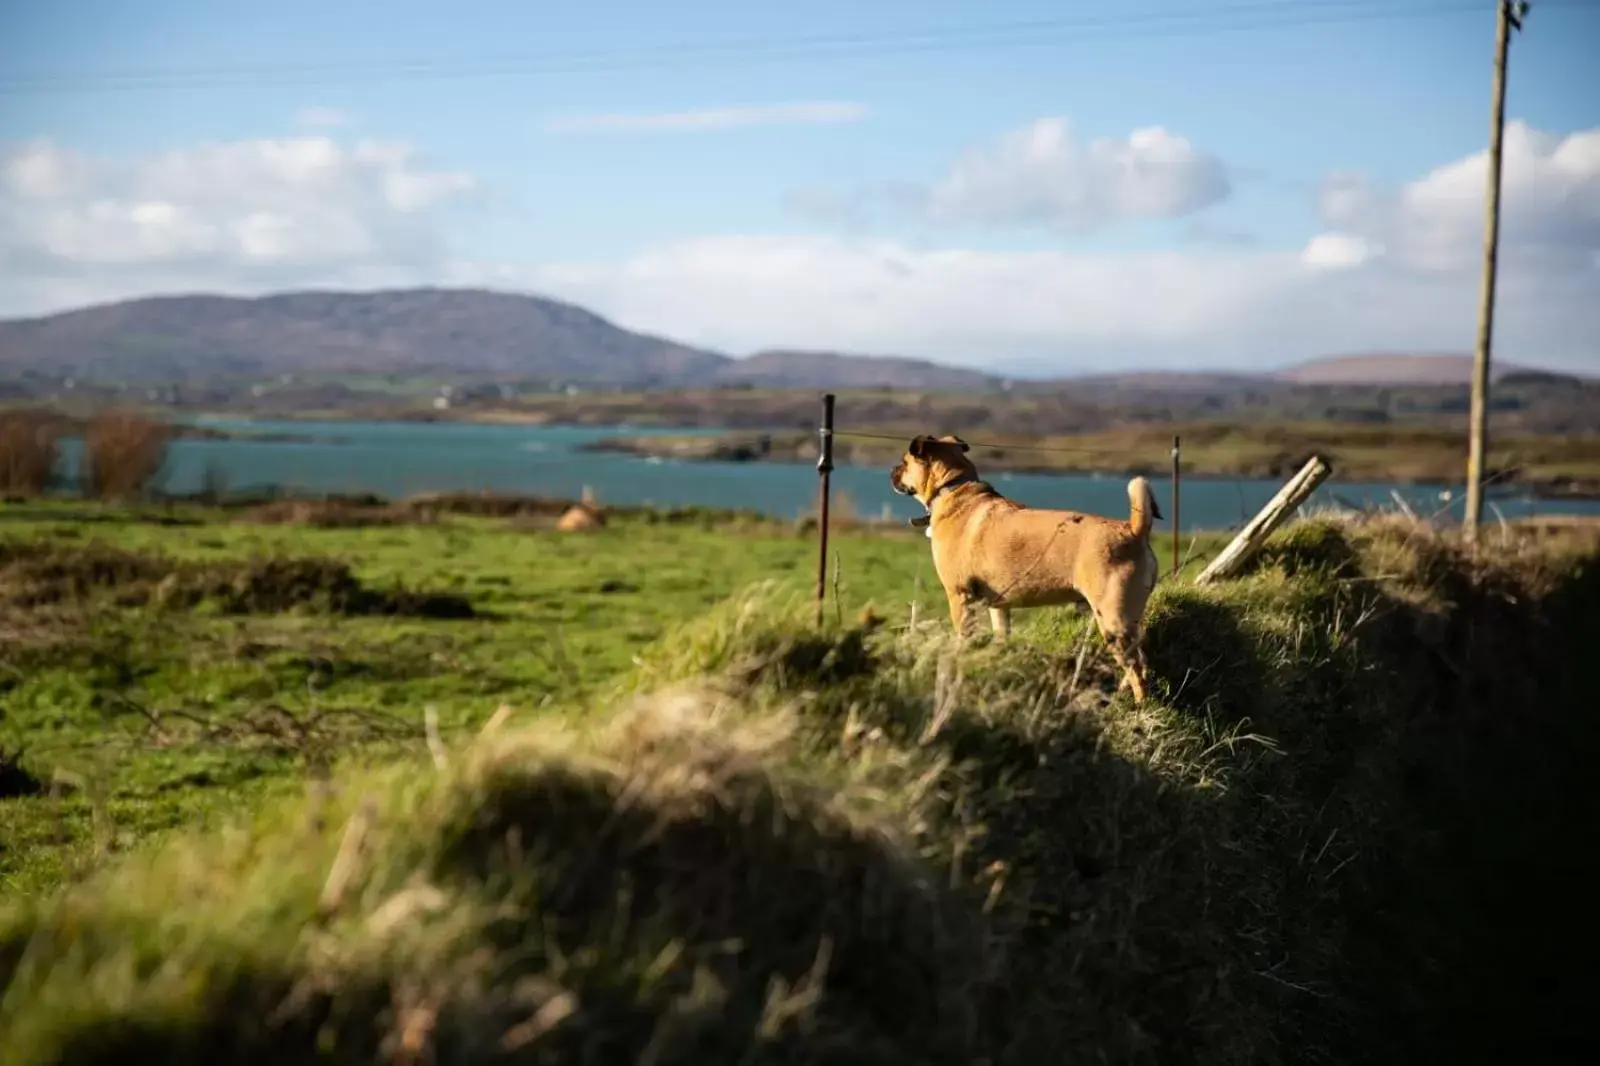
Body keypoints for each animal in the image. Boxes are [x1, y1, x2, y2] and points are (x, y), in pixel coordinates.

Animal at [889, 432, 1164, 697]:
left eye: (905, 462)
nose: (893, 470)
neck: (953, 487)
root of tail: (1133, 530)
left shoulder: (960, 598)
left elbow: (963, 638)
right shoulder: (998, 607)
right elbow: (1002, 636)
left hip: (1113, 620)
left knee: (1137, 669)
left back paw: (1138, 704)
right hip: (1126, 618)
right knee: (1140, 661)